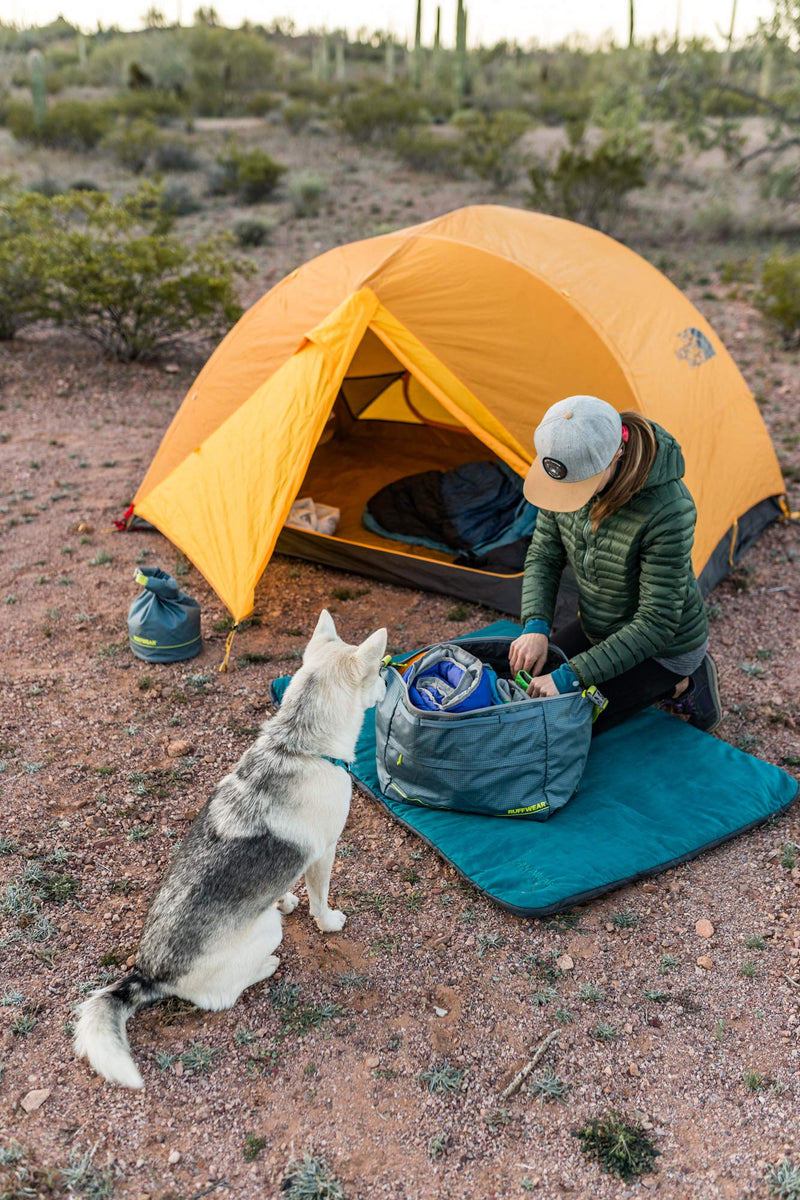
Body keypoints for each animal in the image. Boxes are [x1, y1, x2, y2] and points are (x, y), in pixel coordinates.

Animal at [74, 609, 388, 1089]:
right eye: (378, 673)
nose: (392, 683)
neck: (298, 743)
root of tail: (149, 974)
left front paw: (285, 898)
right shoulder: (324, 855)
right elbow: (320, 901)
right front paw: (328, 922)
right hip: (267, 935)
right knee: (223, 996)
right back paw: (267, 966)